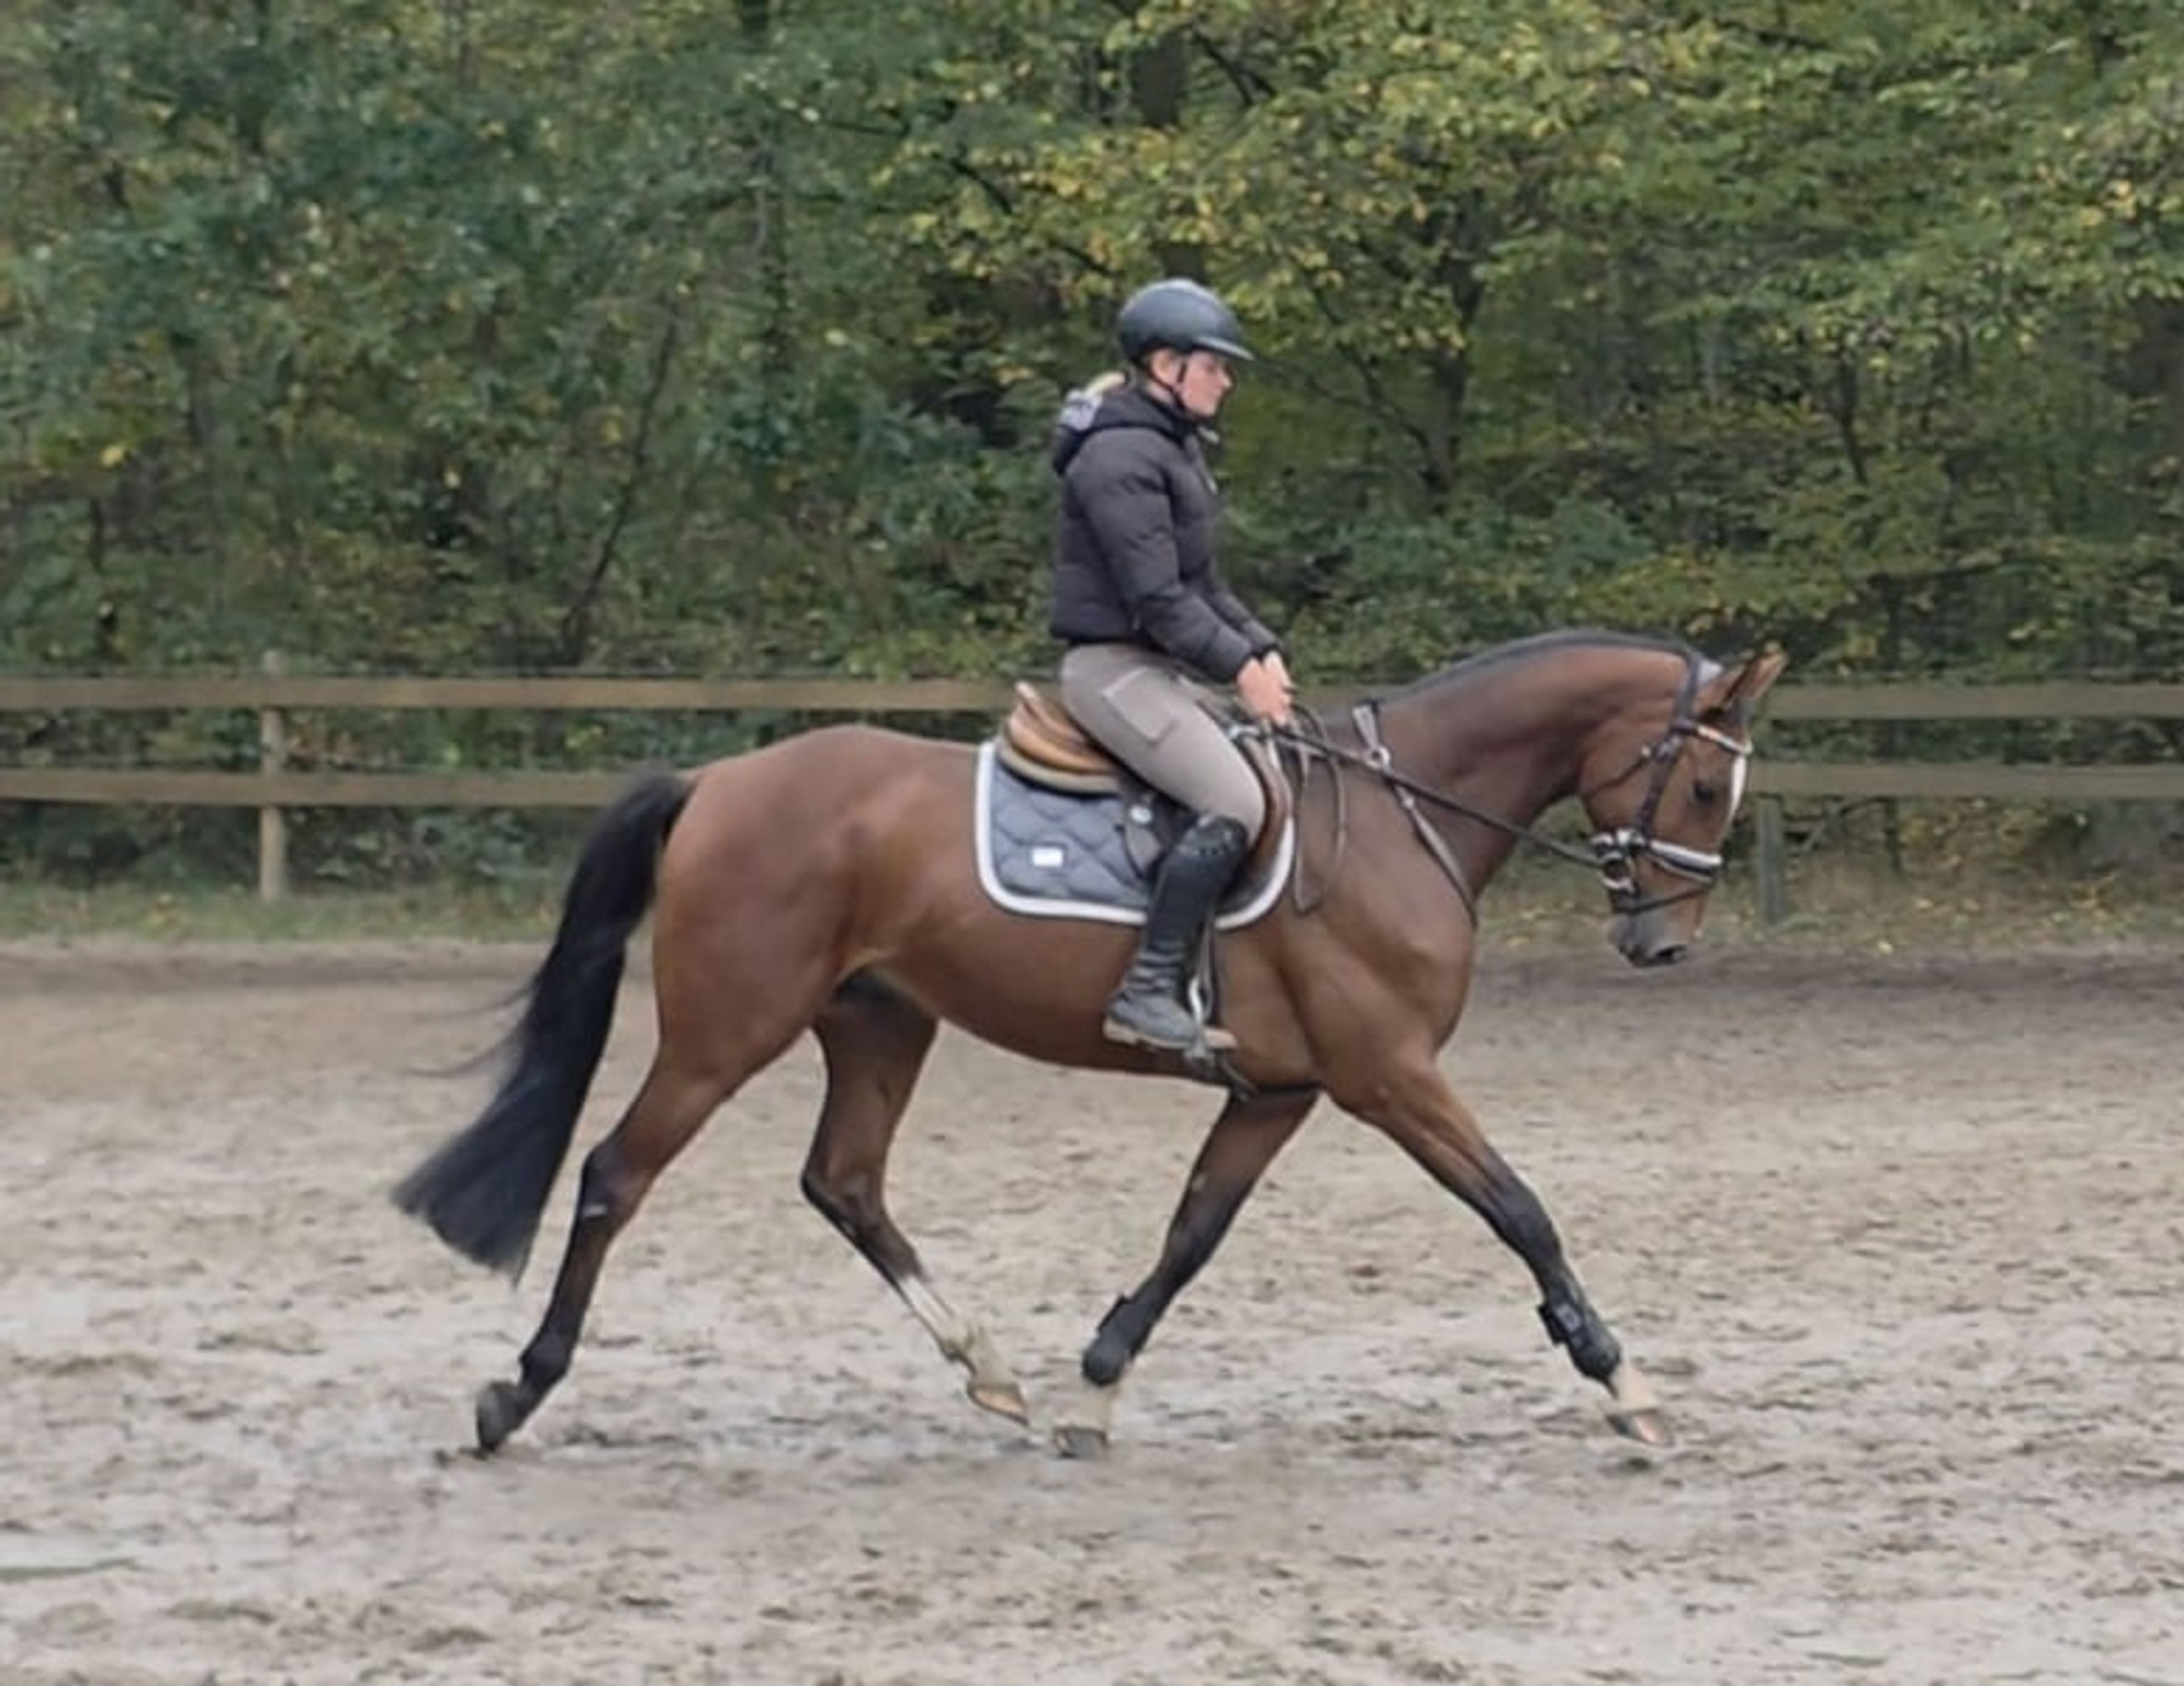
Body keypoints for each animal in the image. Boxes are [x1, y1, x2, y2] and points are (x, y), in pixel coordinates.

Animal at [394, 629, 1786, 1458]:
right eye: (1702, 785)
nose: (1661, 945)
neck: (1404, 819)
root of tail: (718, 783)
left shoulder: (1279, 1090)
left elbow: (1193, 1232)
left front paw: (1098, 1381)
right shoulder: (1389, 1078)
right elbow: (1520, 1210)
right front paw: (1622, 1381)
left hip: (880, 1021)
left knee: (845, 1183)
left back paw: (989, 1370)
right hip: (726, 1030)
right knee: (613, 1177)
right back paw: (516, 1392)